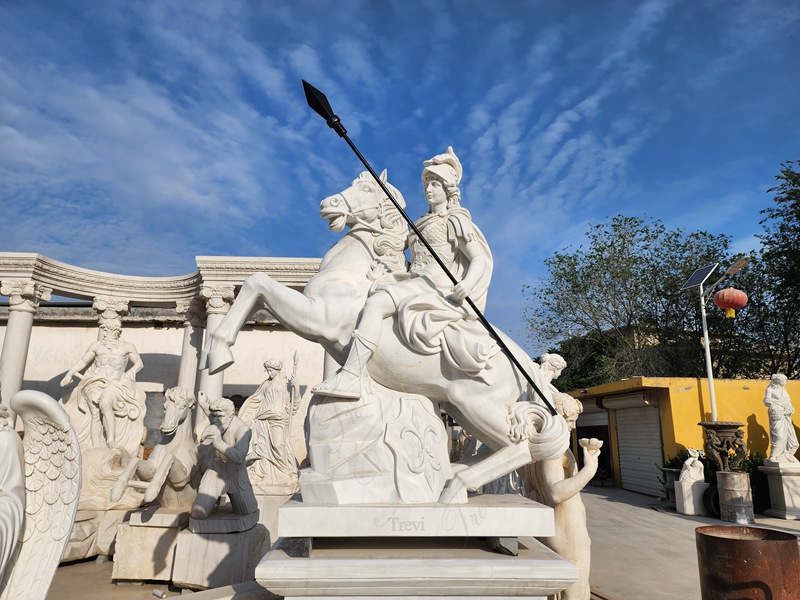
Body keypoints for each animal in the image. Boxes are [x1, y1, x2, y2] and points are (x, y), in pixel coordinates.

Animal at [203, 171, 564, 504]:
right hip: (459, 406)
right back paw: (452, 476)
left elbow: (258, 283)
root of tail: (528, 371)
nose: (328, 203)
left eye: (365, 187)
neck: (355, 271)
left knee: (522, 446)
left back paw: (454, 488)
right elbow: (257, 284)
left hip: (477, 404)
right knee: (500, 446)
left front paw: (219, 355)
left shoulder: (318, 318)